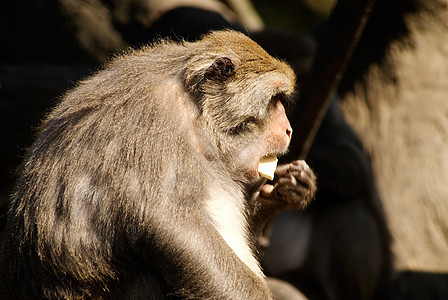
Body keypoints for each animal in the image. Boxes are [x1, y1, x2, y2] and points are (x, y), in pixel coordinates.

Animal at [0, 31, 316, 300]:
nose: (288, 129)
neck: (197, 117)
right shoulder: (152, 123)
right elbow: (168, 221)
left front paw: (289, 189)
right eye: (274, 100)